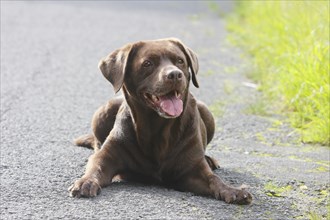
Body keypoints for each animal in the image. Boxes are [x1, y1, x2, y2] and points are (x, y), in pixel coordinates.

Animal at [68, 37, 251, 205]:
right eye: (147, 63)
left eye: (180, 61)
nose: (175, 74)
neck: (157, 127)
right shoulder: (108, 156)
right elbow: (96, 166)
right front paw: (85, 182)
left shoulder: (194, 169)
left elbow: (214, 179)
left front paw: (233, 191)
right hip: (104, 110)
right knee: (97, 143)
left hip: (206, 111)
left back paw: (209, 159)